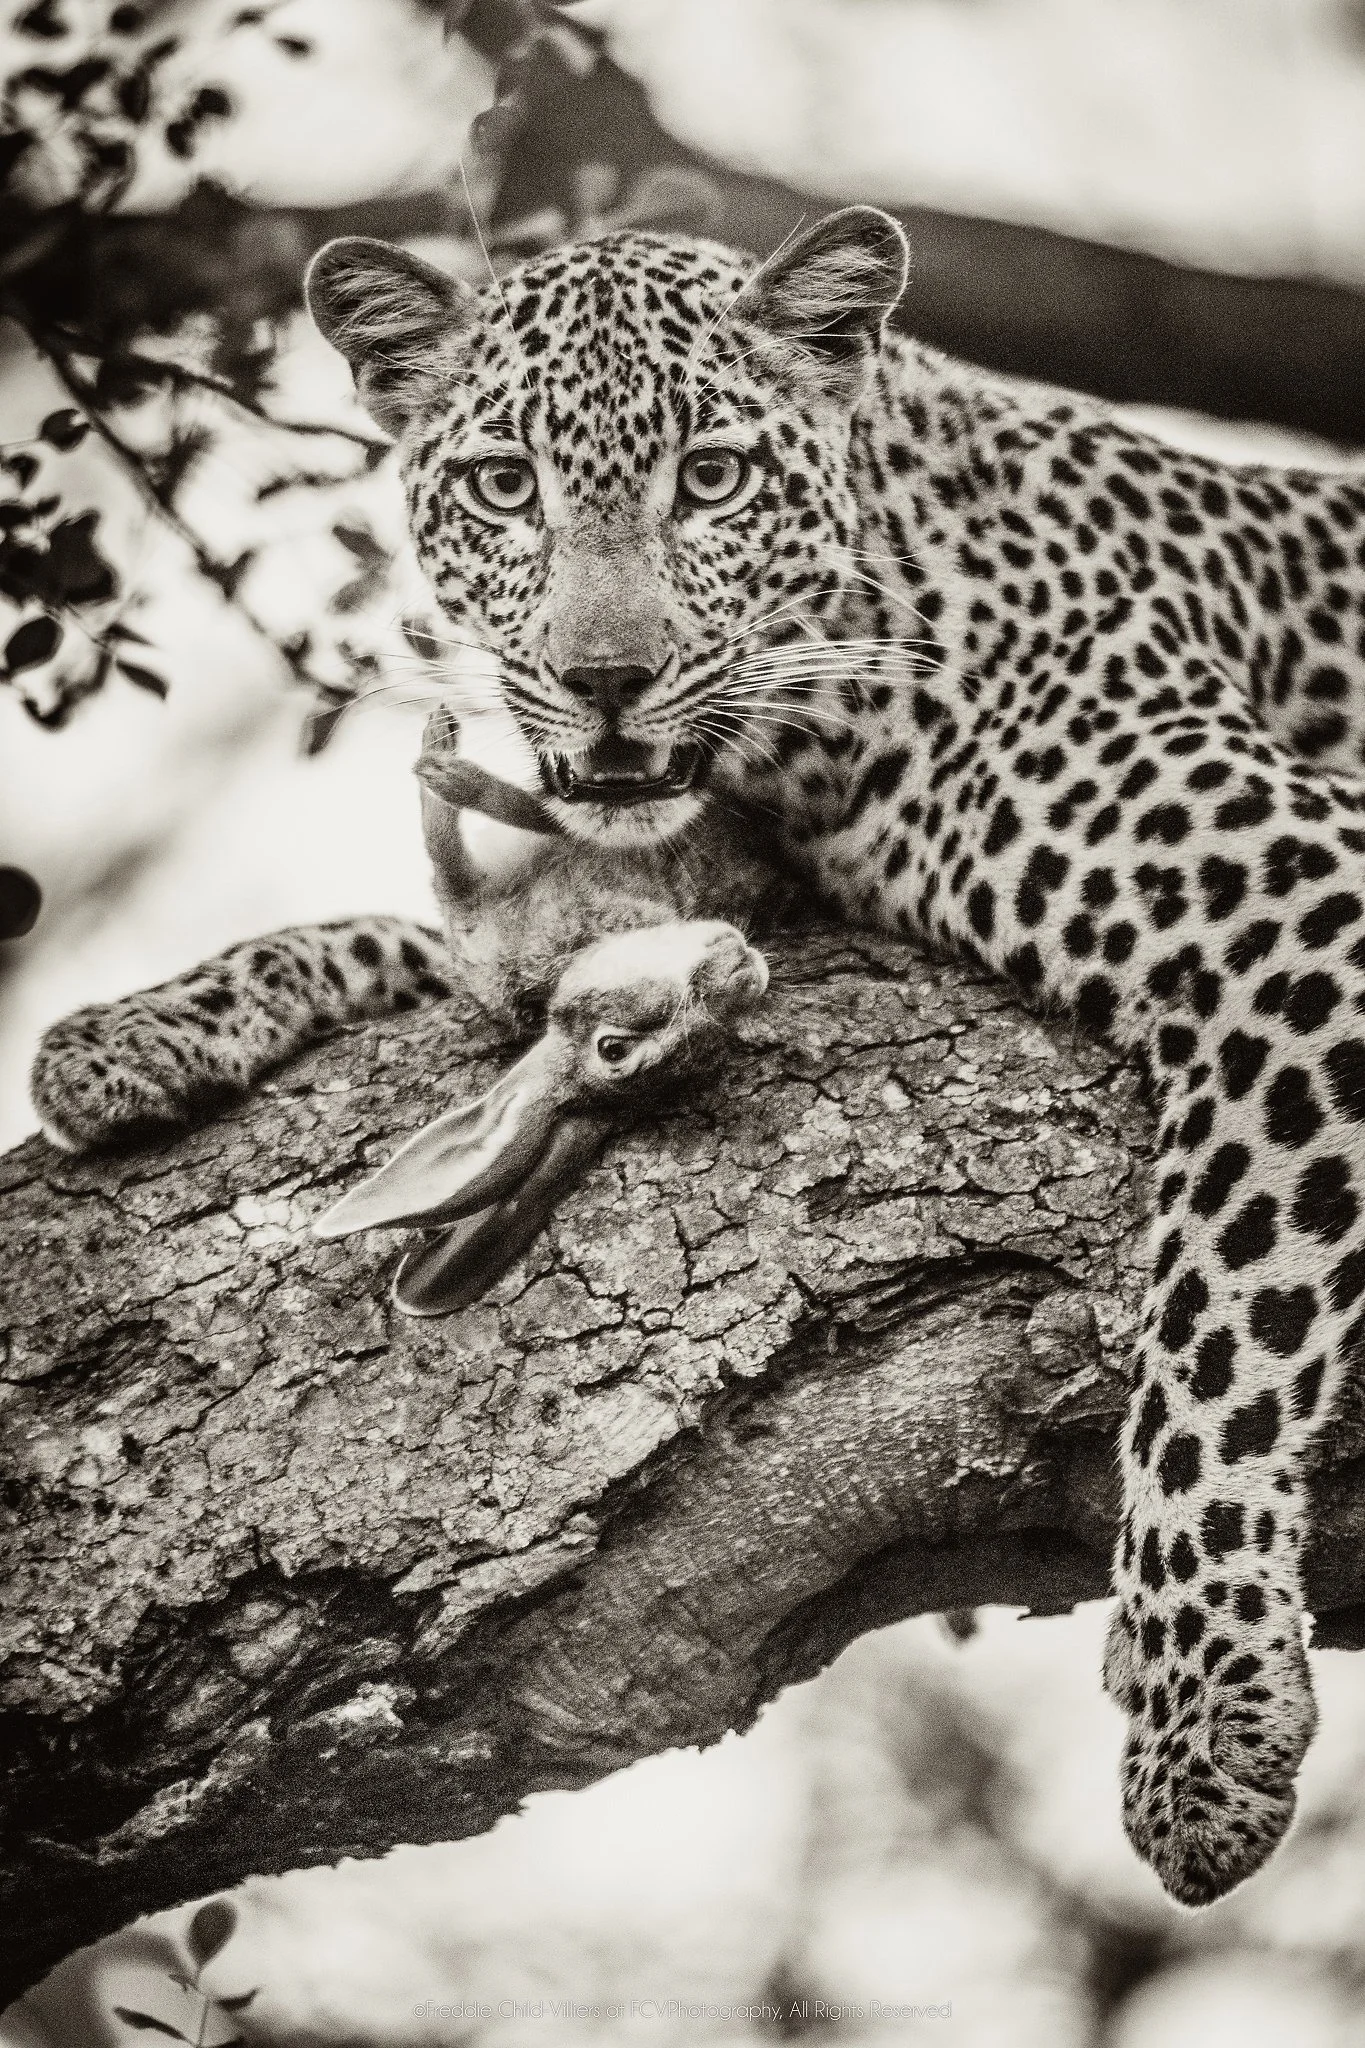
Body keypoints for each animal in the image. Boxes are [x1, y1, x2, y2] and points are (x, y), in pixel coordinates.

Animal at [29, 204, 1365, 1911]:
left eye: (713, 477)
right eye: (506, 485)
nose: (604, 680)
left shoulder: (1302, 902)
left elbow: (1217, 1324)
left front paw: (1204, 1716)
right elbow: (443, 947)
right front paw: (137, 1030)